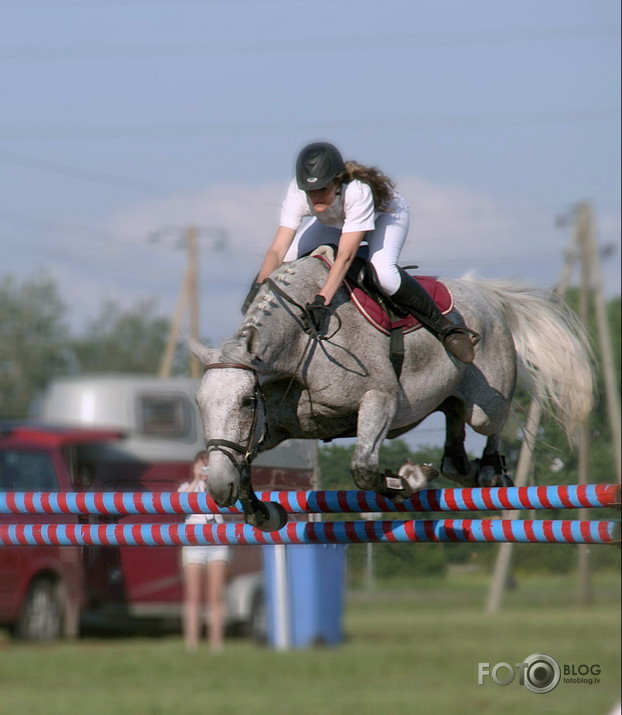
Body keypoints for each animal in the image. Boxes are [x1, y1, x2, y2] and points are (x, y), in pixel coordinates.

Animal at [194, 246, 596, 532]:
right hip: (449, 398)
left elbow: (363, 469)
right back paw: (470, 470)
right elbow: (244, 463)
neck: (300, 347)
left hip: (485, 402)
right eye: (200, 405)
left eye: (247, 401)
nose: (217, 489)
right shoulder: (276, 426)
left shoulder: (380, 400)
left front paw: (412, 477)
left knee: (493, 423)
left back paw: (491, 470)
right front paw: (263, 511)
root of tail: (484, 293)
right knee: (454, 452)